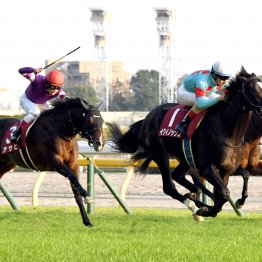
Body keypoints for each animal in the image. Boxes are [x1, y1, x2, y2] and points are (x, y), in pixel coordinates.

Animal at [0, 97, 104, 226]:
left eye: (102, 121)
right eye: (89, 120)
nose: (99, 143)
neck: (60, 130)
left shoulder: (73, 164)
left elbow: (75, 187)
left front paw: (87, 221)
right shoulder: (55, 162)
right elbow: (72, 177)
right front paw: (87, 196)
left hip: (6, 164)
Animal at [107, 67, 262, 219]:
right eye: (254, 89)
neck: (227, 130)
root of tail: (147, 118)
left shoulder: (226, 170)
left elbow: (223, 194)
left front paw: (216, 207)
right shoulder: (207, 167)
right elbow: (224, 193)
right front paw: (208, 211)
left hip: (185, 157)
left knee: (178, 176)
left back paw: (195, 198)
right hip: (160, 154)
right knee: (169, 187)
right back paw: (193, 206)